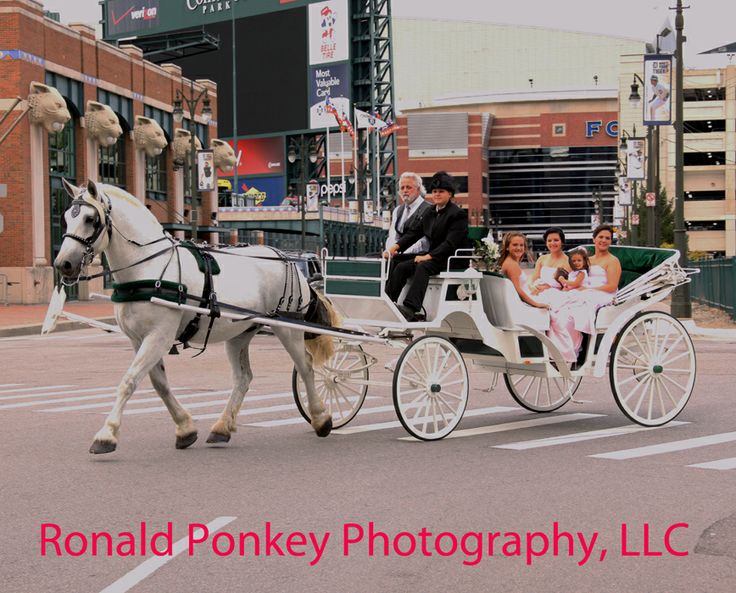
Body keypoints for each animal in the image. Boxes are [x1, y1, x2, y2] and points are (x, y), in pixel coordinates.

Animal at [54, 178, 336, 450]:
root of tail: (285, 258)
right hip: (240, 333)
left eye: (91, 219)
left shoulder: (159, 336)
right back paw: (222, 428)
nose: (62, 264)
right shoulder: (138, 339)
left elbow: (129, 380)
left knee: (305, 367)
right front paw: (185, 428)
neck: (149, 265)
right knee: (243, 378)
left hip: (288, 327)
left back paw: (321, 418)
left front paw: (106, 435)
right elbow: (159, 384)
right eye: (67, 216)